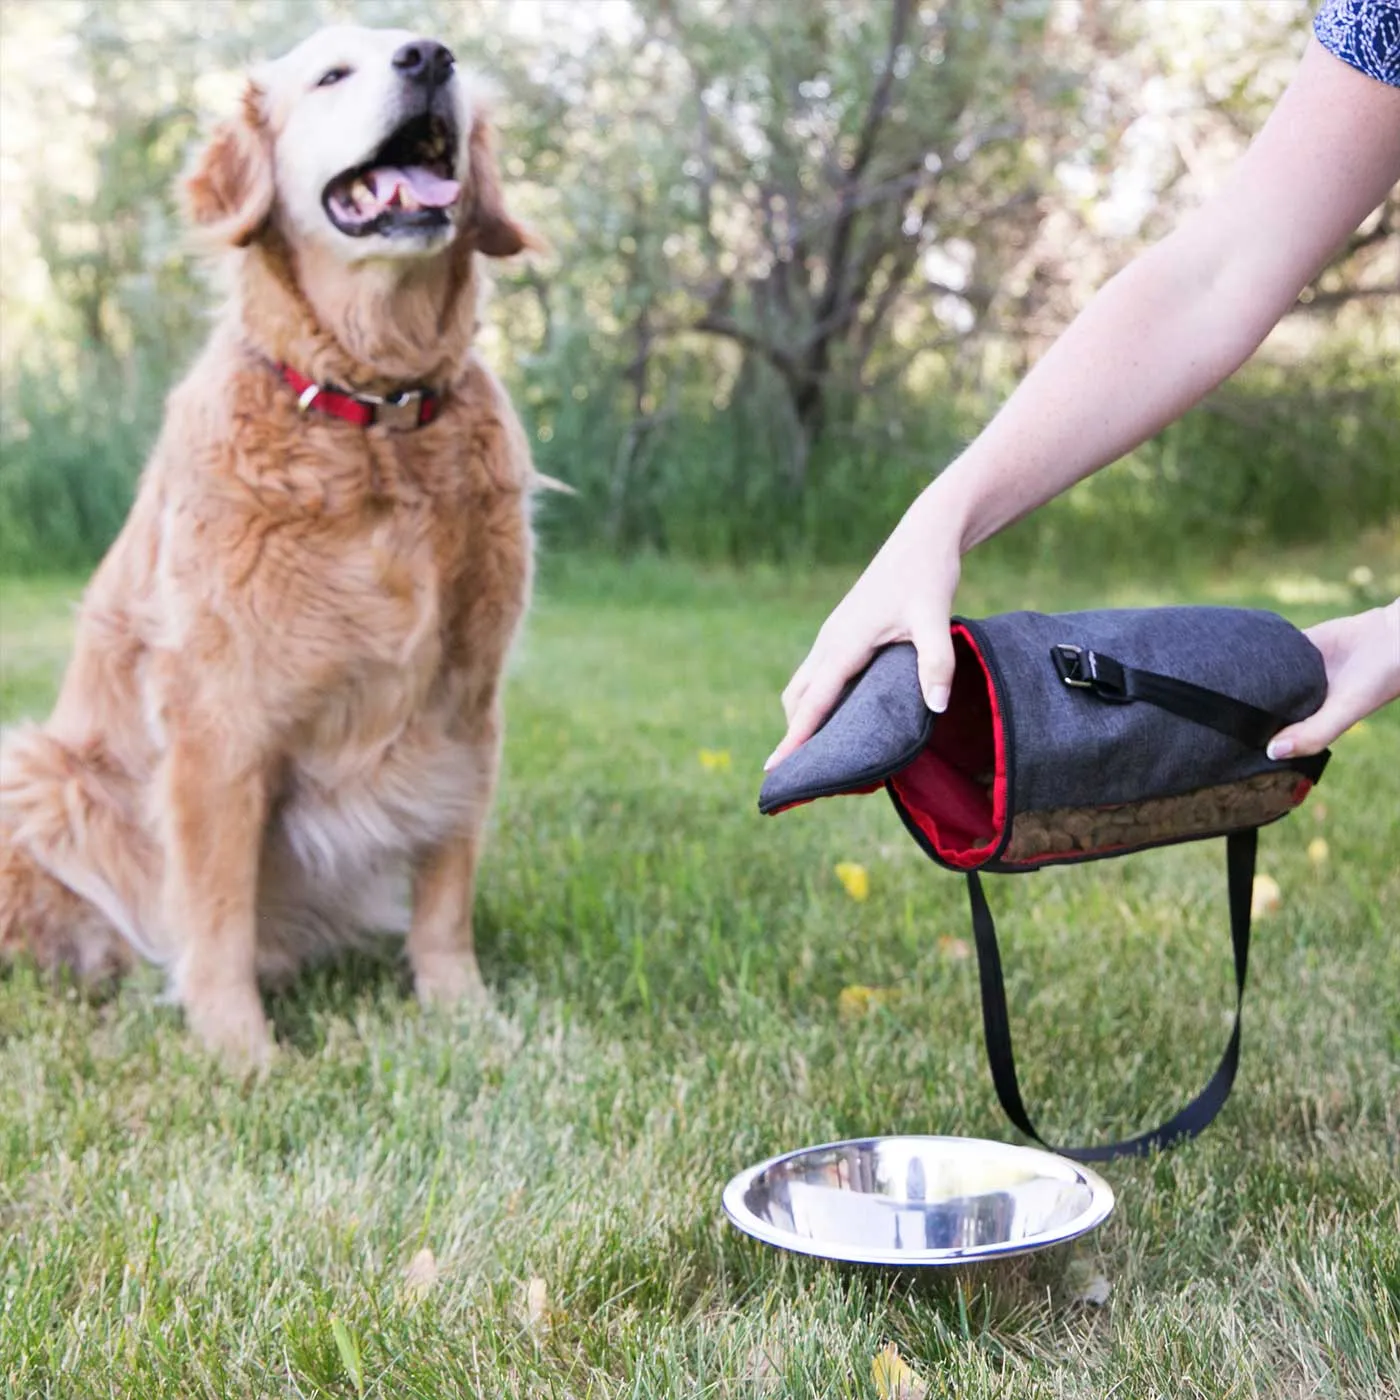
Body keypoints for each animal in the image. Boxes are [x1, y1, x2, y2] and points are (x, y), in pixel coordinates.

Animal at [0, 24, 540, 1058]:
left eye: (438, 53)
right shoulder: (219, 720)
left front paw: (465, 1015)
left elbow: (446, 891)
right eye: (332, 74)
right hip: (40, 775)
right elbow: (216, 910)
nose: (429, 57)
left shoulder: (468, 706)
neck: (373, 412)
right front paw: (240, 1051)